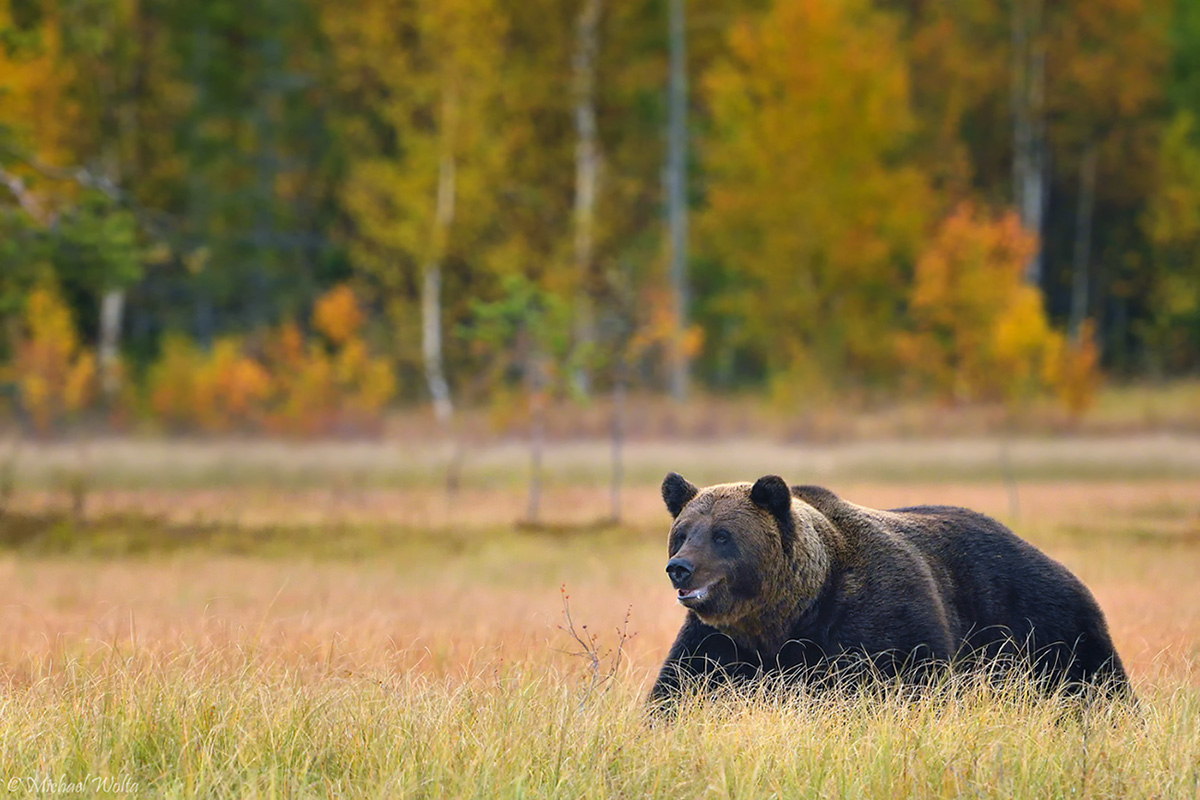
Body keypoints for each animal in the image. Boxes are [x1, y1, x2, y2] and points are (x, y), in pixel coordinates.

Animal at [648, 474, 1123, 705]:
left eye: (722, 535)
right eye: (682, 532)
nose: (679, 568)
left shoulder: (875, 619)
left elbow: (896, 681)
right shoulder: (722, 644)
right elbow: (683, 690)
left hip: (1040, 626)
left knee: (1093, 682)